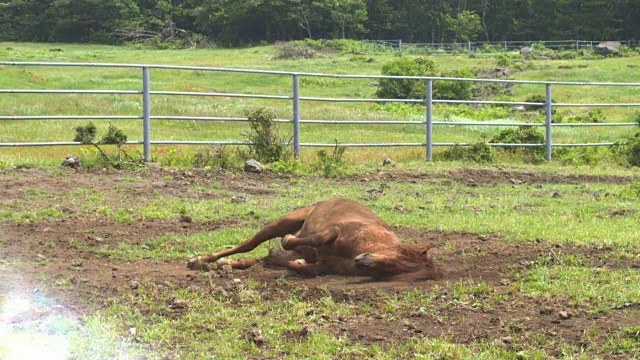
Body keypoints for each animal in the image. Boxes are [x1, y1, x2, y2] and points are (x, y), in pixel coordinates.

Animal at [186, 198, 440, 280]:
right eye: (395, 257)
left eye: (393, 271)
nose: (363, 262)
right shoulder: (334, 230)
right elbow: (312, 239)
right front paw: (290, 239)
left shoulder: (323, 264)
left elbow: (308, 268)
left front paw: (295, 263)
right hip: (283, 221)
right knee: (248, 245)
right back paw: (202, 260)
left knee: (258, 259)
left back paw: (227, 264)